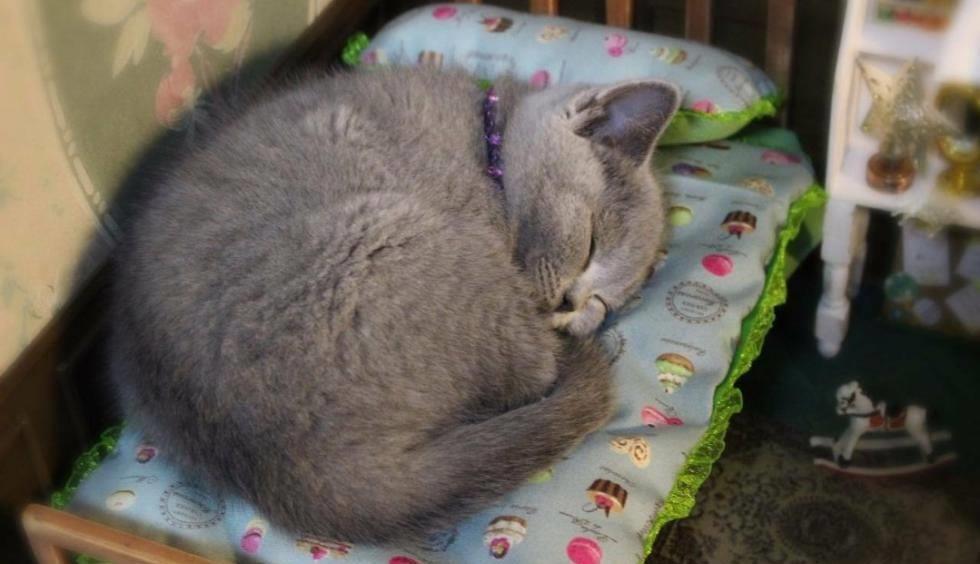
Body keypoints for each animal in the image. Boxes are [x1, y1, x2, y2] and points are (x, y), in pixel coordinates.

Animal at [109, 66, 679, 543]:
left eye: (602, 305)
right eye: (589, 244)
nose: (571, 304)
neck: (484, 145)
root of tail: (288, 470)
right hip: (403, 234)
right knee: (534, 371)